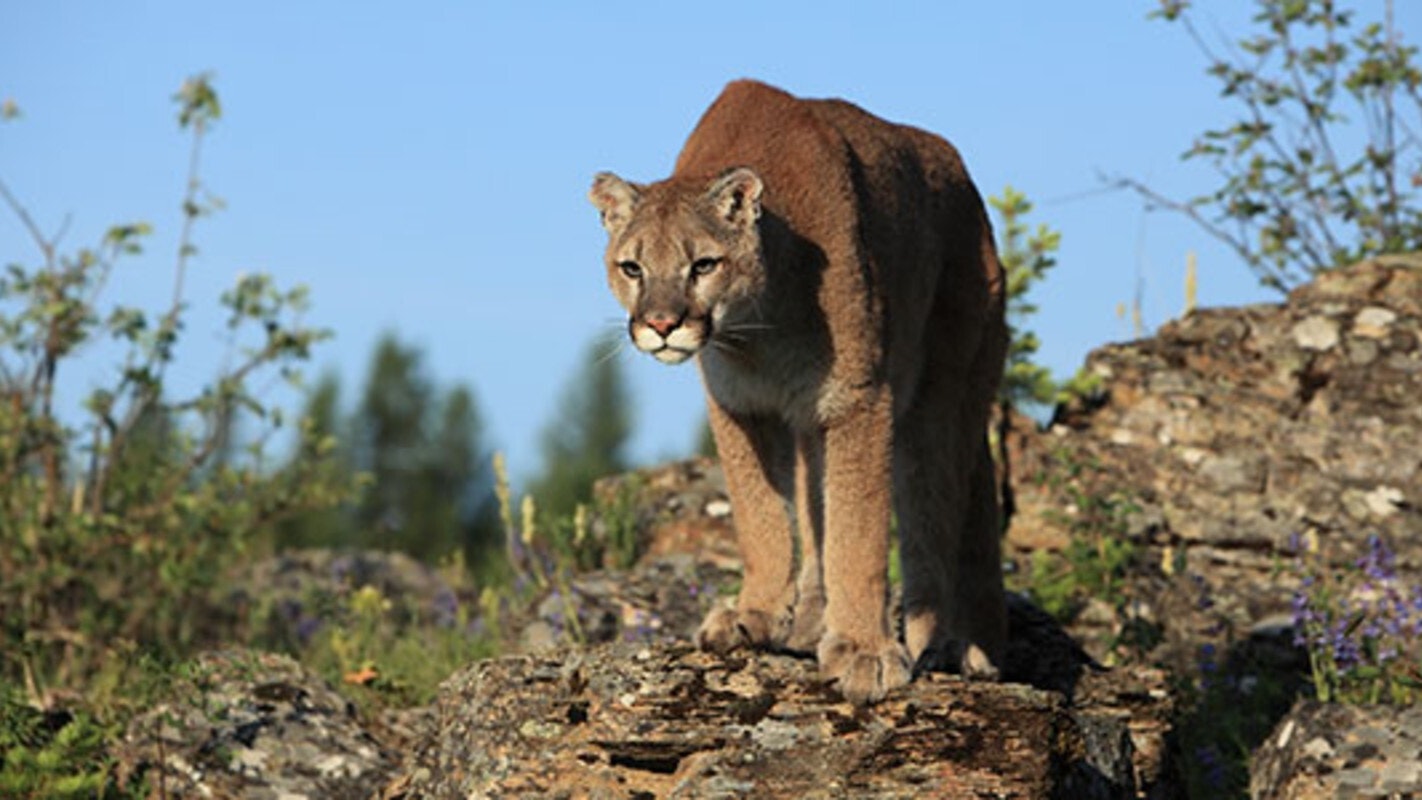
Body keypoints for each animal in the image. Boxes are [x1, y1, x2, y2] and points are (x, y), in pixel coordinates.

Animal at [589, 79, 1007, 704]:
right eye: (632, 268)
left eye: (704, 265)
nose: (661, 325)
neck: (758, 330)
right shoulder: (741, 407)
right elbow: (761, 517)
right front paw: (753, 614)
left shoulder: (860, 399)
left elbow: (857, 532)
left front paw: (864, 652)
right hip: (815, 423)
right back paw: (812, 625)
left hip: (942, 394)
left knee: (936, 512)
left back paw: (950, 645)